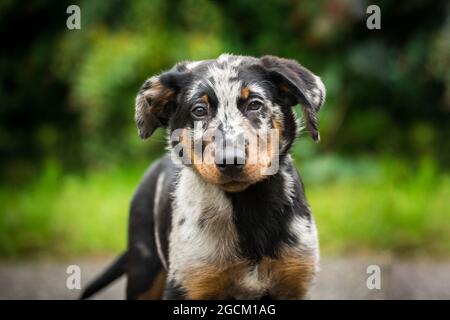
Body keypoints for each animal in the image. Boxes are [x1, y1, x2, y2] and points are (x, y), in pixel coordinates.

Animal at [81, 53, 326, 300]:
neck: (246, 207)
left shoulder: (294, 280)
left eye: (255, 104)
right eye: (199, 110)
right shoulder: (188, 283)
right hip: (143, 270)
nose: (230, 160)